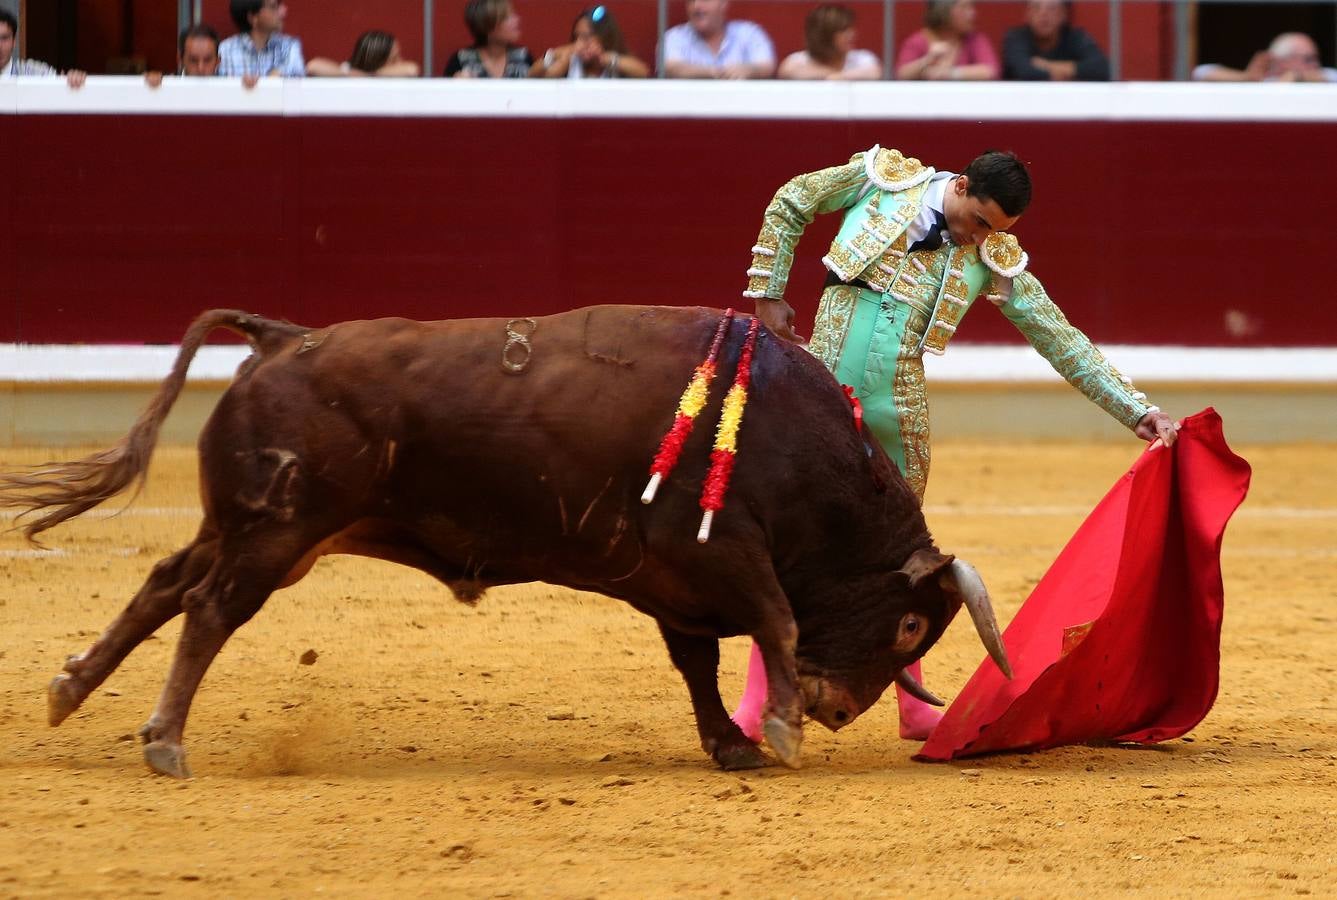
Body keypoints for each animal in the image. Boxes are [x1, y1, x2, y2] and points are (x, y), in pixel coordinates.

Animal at [0, 304, 1005, 775]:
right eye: (909, 626)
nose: (837, 710)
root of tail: (282, 338)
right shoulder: (714, 550)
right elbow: (776, 620)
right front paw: (784, 730)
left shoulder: (674, 580)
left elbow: (699, 663)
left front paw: (734, 744)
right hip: (276, 533)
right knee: (207, 608)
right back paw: (164, 741)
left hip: (250, 526)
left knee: (167, 581)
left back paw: (69, 688)